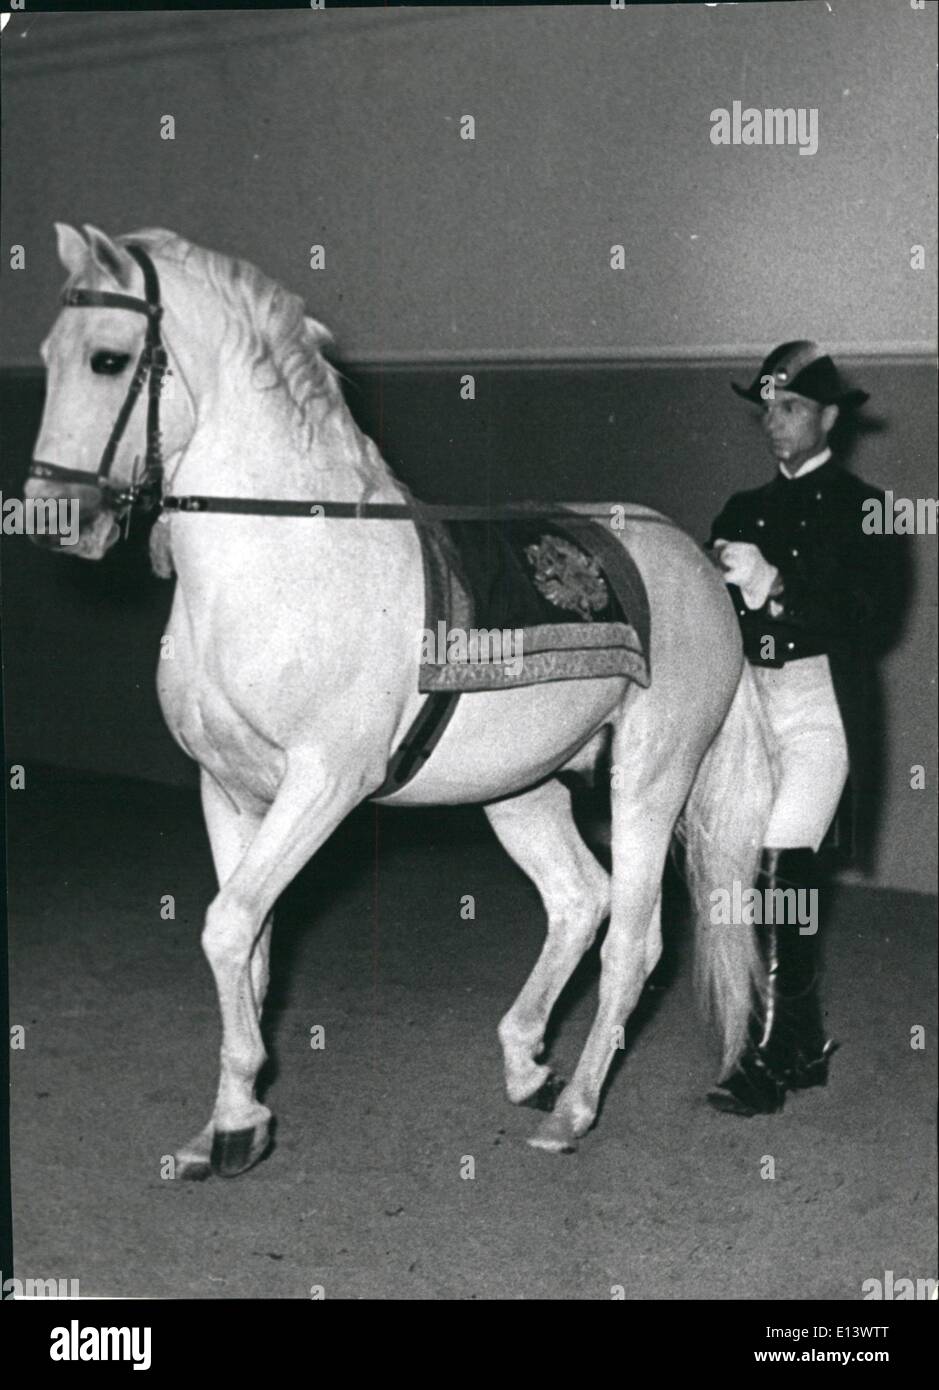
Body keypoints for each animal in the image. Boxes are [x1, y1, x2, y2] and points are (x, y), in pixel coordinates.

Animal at [27, 225, 777, 1173]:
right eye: (45, 357)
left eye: (108, 358)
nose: (52, 518)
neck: (282, 561)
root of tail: (700, 566)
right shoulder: (228, 791)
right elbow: (251, 949)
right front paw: (232, 1119)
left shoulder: (325, 784)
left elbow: (227, 927)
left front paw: (236, 1127)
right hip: (521, 788)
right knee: (578, 899)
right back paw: (526, 1063)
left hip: (651, 777)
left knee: (632, 943)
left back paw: (570, 1112)